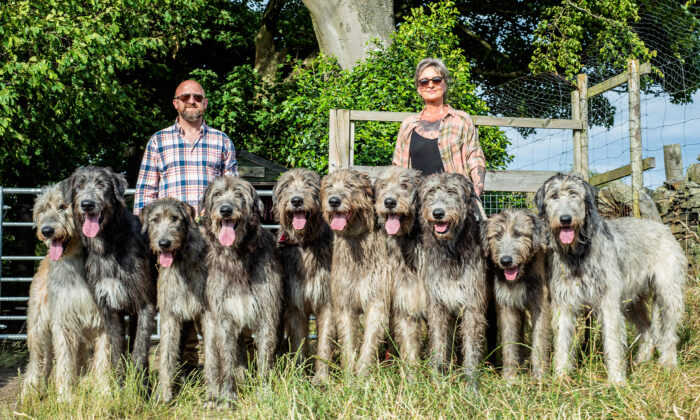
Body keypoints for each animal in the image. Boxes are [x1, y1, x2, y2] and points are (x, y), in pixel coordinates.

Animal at [21, 184, 108, 400]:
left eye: (62, 207)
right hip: (38, 324)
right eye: (43, 209)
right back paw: (30, 392)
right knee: (38, 359)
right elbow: (64, 359)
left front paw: (105, 393)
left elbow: (103, 358)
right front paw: (65, 397)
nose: (46, 231)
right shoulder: (64, 318)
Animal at [200, 175, 282, 404]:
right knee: (213, 360)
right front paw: (228, 397)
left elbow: (264, 358)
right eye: (217, 194)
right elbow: (227, 360)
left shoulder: (267, 314)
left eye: (239, 194)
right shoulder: (224, 318)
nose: (226, 210)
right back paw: (213, 394)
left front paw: (264, 392)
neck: (237, 257)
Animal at [322, 170, 392, 374]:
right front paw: (348, 375)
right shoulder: (345, 303)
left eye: (350, 186)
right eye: (329, 186)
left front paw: (362, 374)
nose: (334, 201)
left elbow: (369, 341)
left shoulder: (377, 300)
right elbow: (348, 341)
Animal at [484, 208, 548, 378]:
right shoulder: (508, 307)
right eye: (497, 236)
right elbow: (509, 341)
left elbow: (539, 340)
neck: (521, 277)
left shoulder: (539, 306)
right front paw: (509, 377)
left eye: (518, 234)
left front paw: (539, 376)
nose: (506, 261)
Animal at [540, 171, 688, 384]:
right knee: (647, 329)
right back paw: (642, 360)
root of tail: (659, 225)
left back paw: (669, 364)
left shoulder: (608, 302)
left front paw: (616, 380)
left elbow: (612, 340)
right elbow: (562, 341)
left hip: (668, 294)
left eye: (574, 194)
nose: (565, 219)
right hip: (631, 300)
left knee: (668, 332)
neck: (577, 253)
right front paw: (560, 378)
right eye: (554, 196)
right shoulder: (563, 304)